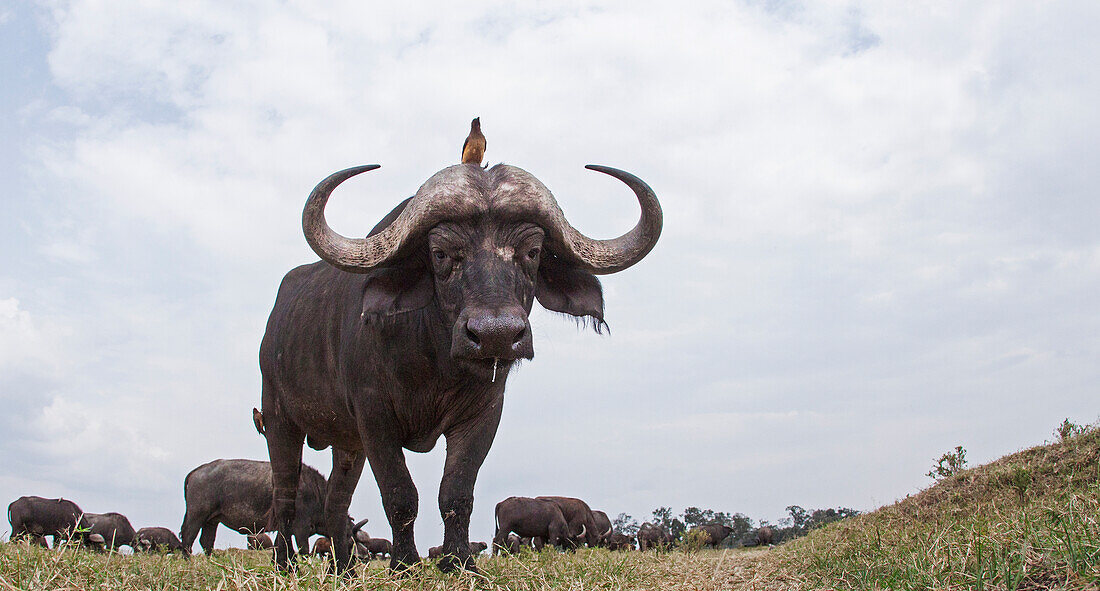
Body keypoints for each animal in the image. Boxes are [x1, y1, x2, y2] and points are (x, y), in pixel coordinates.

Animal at [259, 157, 660, 572]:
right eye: (440, 253)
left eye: (532, 251)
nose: (497, 334)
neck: (435, 365)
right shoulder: (374, 417)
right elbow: (400, 494)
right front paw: (404, 563)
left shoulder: (482, 414)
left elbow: (456, 492)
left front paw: (458, 561)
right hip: (278, 418)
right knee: (285, 495)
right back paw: (284, 563)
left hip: (347, 445)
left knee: (336, 503)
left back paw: (346, 569)